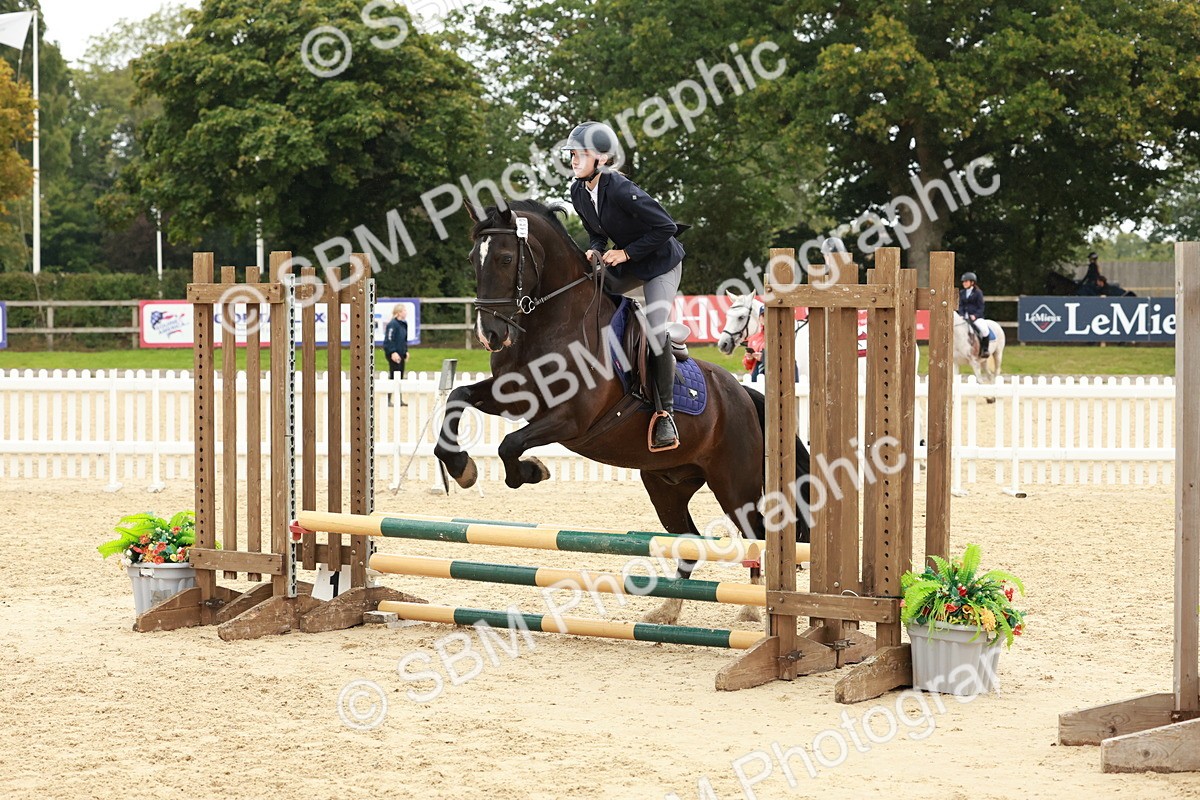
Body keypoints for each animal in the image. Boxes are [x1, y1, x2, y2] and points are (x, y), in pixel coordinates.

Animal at [433, 200, 811, 625]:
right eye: (472, 259)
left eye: (505, 258)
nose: (491, 336)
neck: (553, 322)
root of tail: (742, 393)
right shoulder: (514, 397)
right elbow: (459, 397)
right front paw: (461, 467)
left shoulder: (570, 419)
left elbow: (509, 445)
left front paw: (531, 471)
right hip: (667, 484)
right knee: (690, 539)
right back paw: (667, 610)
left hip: (734, 483)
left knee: (757, 531)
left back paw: (754, 610)